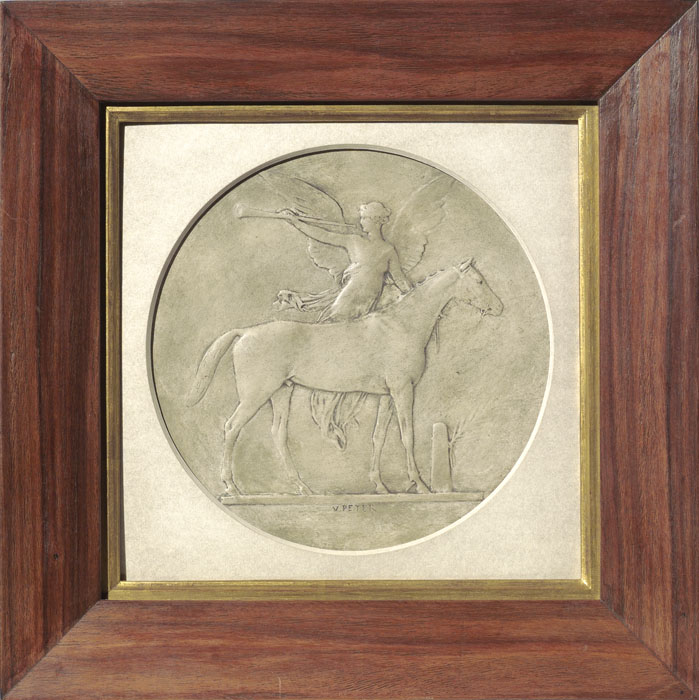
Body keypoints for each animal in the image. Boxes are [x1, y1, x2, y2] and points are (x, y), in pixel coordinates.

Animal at [187, 259, 503, 496]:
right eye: (479, 282)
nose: (499, 307)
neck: (401, 326)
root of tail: (245, 333)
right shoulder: (403, 391)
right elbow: (407, 436)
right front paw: (421, 486)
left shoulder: (386, 396)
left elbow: (378, 438)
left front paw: (381, 487)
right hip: (256, 395)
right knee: (231, 428)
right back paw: (232, 487)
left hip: (282, 392)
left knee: (278, 434)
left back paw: (303, 488)